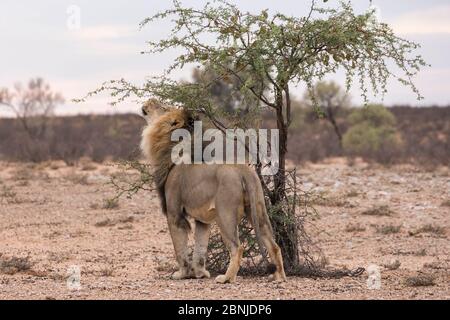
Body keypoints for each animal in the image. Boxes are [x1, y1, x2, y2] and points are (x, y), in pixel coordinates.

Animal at [141, 100, 286, 282]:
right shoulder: (202, 221)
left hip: (225, 214)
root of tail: (243, 171)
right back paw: (279, 277)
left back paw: (226, 278)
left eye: (163, 107)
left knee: (237, 247)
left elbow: (180, 248)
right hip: (258, 209)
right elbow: (200, 248)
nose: (148, 101)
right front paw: (200, 273)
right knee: (274, 245)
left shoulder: (174, 214)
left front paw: (182, 274)